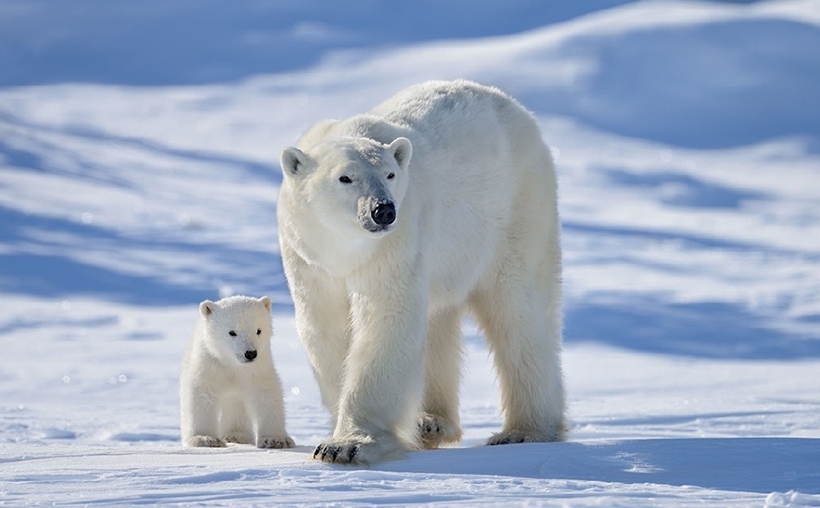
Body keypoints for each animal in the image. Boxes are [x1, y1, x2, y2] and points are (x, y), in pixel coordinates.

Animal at [179, 294, 294, 448]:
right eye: (232, 332)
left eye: (258, 330)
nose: (250, 353)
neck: (232, 363)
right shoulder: (209, 363)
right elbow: (202, 392)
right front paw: (205, 438)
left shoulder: (257, 367)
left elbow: (265, 392)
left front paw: (275, 439)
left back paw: (236, 436)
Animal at [278, 79, 568, 464]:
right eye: (345, 178)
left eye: (390, 174)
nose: (383, 210)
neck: (344, 248)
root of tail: (515, 107)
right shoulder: (309, 259)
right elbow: (326, 327)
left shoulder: (395, 244)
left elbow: (386, 319)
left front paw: (348, 445)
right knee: (437, 323)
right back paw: (431, 423)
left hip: (516, 212)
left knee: (519, 311)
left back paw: (524, 431)